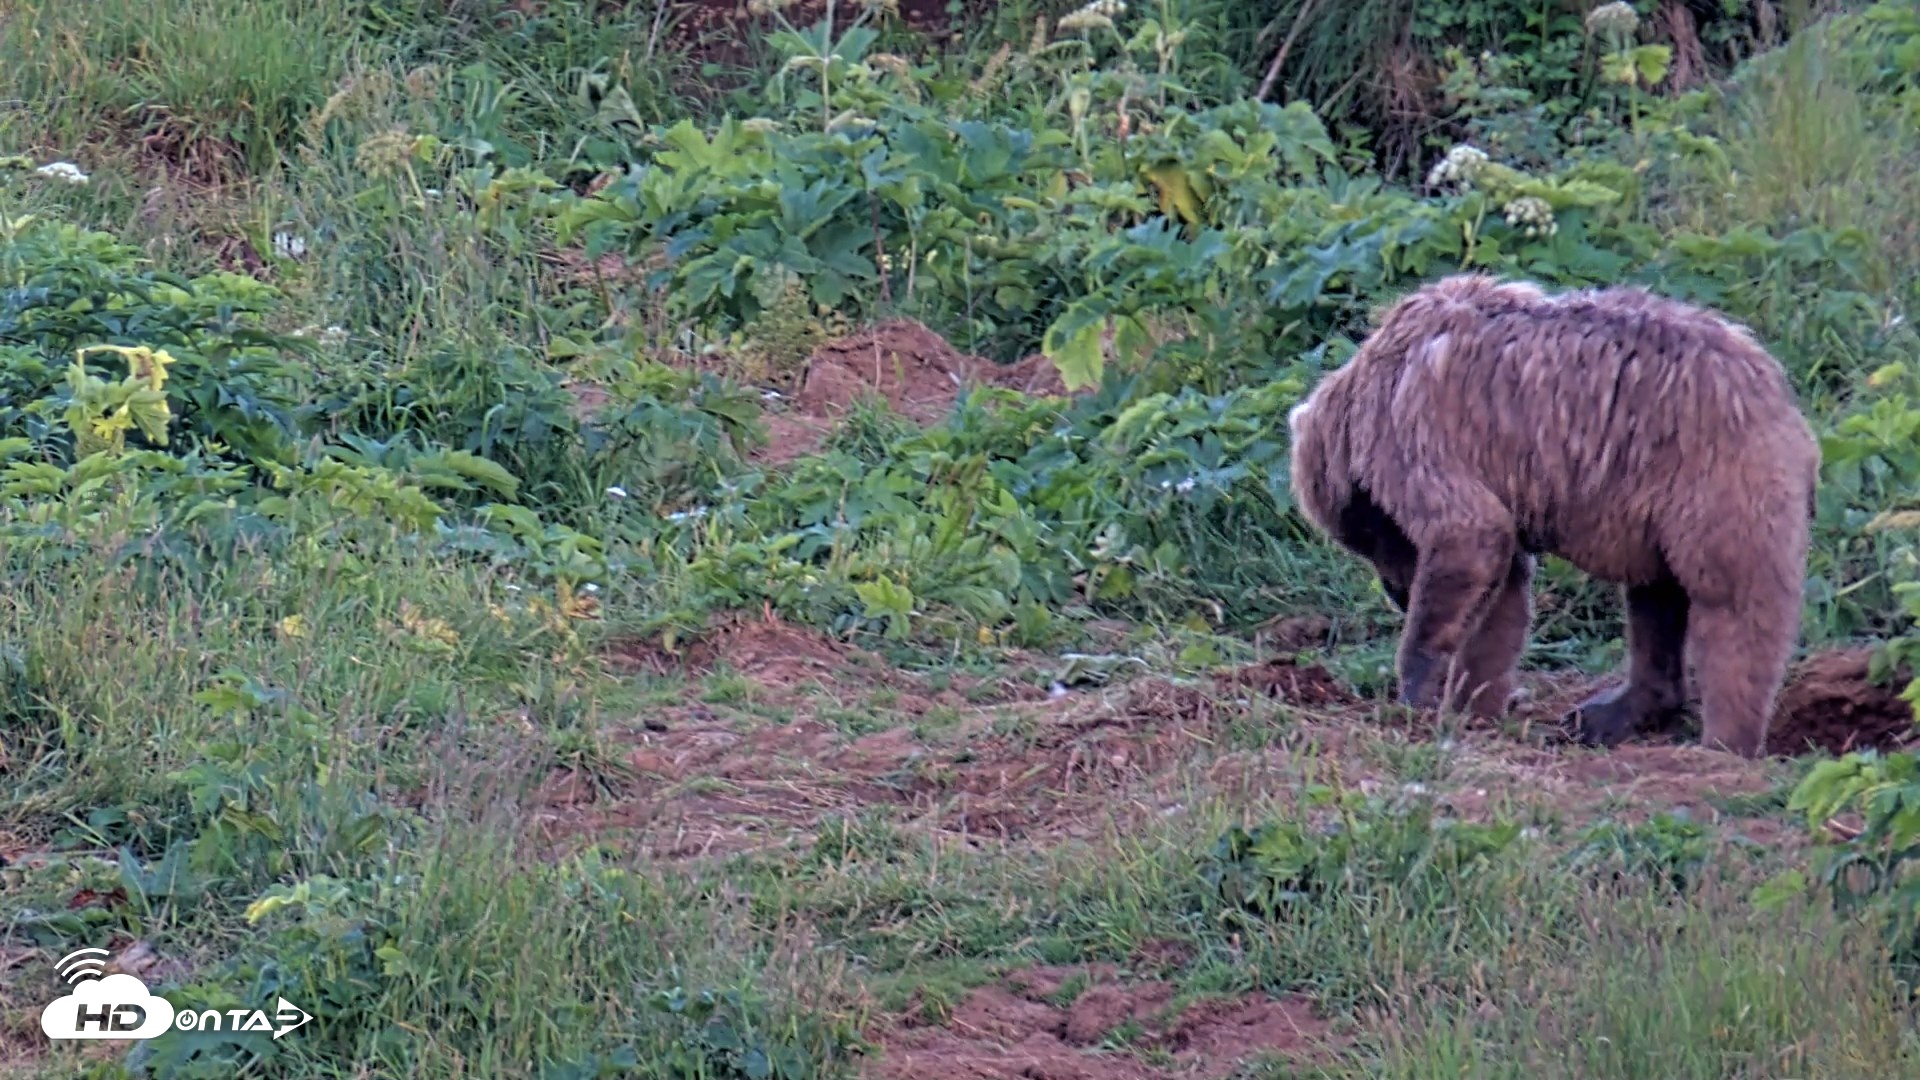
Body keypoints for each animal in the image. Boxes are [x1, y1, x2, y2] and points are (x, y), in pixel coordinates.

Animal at [1285, 273, 1821, 758]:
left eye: (1371, 537)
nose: (1398, 592)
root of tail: (1787, 408)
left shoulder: (1418, 434)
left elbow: (1468, 535)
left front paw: (1418, 686)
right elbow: (1502, 595)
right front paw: (1473, 702)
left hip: (1715, 481)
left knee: (1732, 606)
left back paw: (1723, 742)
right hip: (1654, 507)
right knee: (1655, 598)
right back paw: (1610, 713)